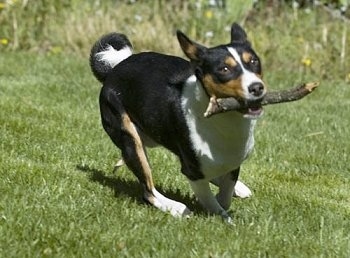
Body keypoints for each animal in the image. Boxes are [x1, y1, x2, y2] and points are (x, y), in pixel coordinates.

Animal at [89, 22, 266, 224]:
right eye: (224, 69)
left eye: (254, 62)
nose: (257, 87)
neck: (224, 120)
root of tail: (113, 70)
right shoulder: (194, 170)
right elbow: (213, 201)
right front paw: (224, 219)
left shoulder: (233, 160)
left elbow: (225, 190)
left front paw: (228, 195)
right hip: (131, 139)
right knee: (148, 192)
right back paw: (175, 207)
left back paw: (238, 188)